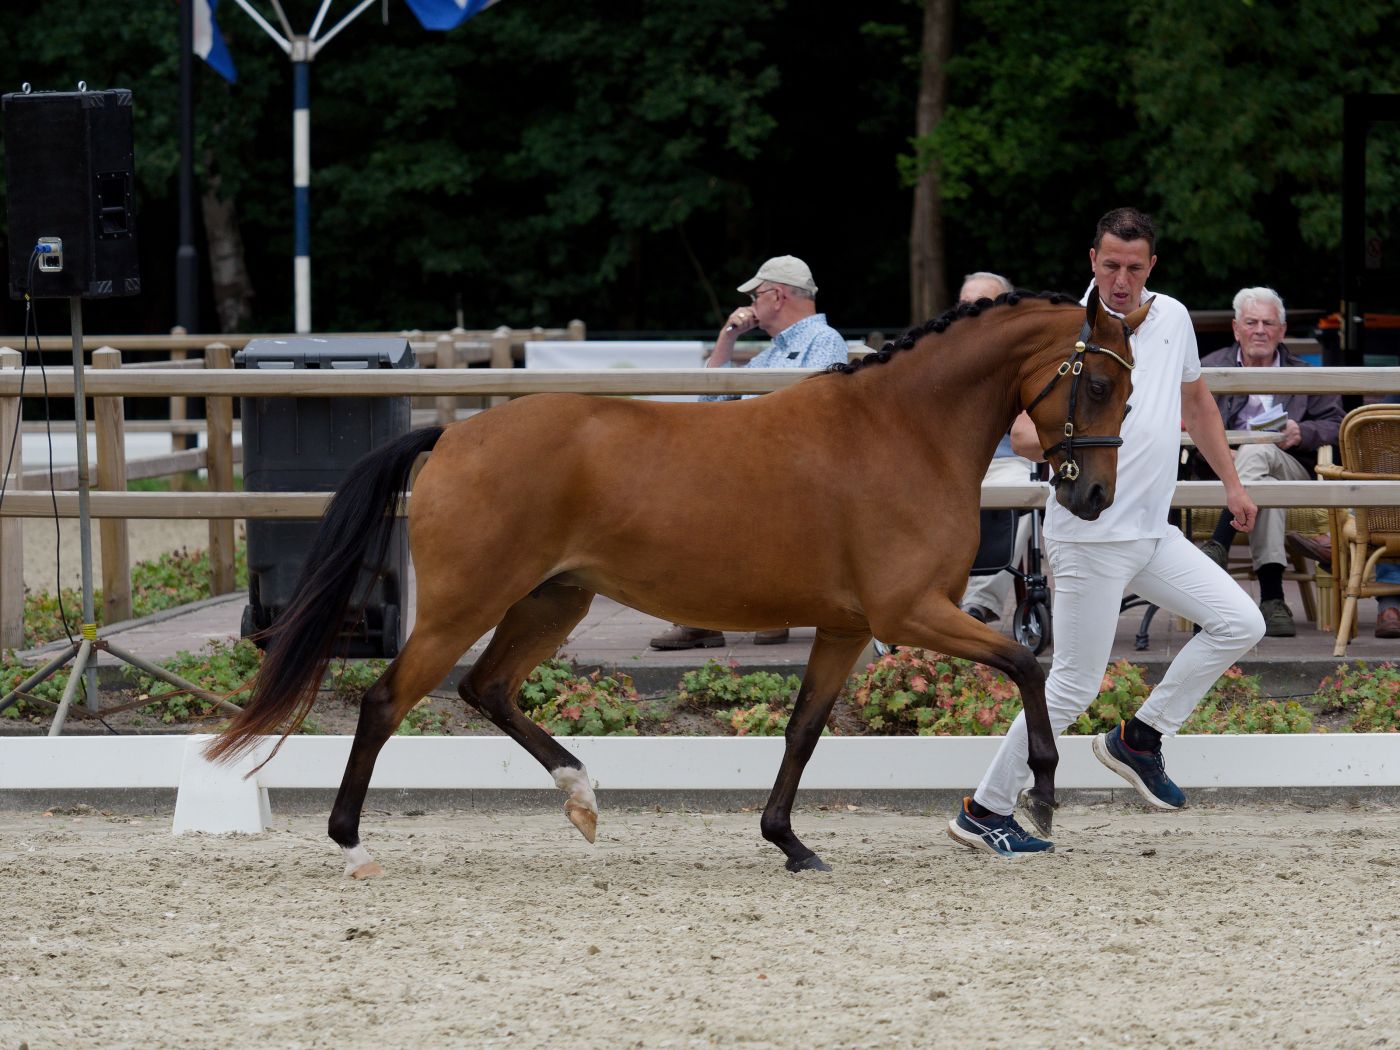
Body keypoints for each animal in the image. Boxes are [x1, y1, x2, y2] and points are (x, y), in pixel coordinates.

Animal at [207, 288, 1147, 877]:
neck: (902, 430)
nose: (1093, 496)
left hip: (554, 600)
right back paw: (351, 843)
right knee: (387, 702)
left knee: (487, 690)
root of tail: (454, 436)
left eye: (1130, 390)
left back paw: (582, 799)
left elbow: (803, 731)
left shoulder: (847, 627)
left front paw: (789, 843)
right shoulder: (911, 613)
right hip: (465, 605)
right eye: (1100, 381)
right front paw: (1044, 798)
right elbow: (1024, 665)